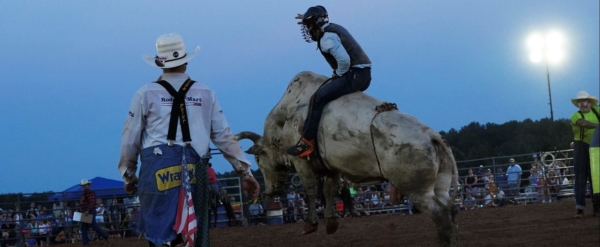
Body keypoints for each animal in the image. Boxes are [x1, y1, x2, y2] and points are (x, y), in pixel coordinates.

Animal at [236, 71, 460, 245]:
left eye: (258, 160)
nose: (270, 192)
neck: (283, 119)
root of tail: (431, 135)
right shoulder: (331, 168)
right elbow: (329, 191)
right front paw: (331, 222)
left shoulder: (301, 163)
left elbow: (310, 190)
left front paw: (311, 224)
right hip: (440, 183)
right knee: (450, 209)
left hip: (416, 188)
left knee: (440, 214)